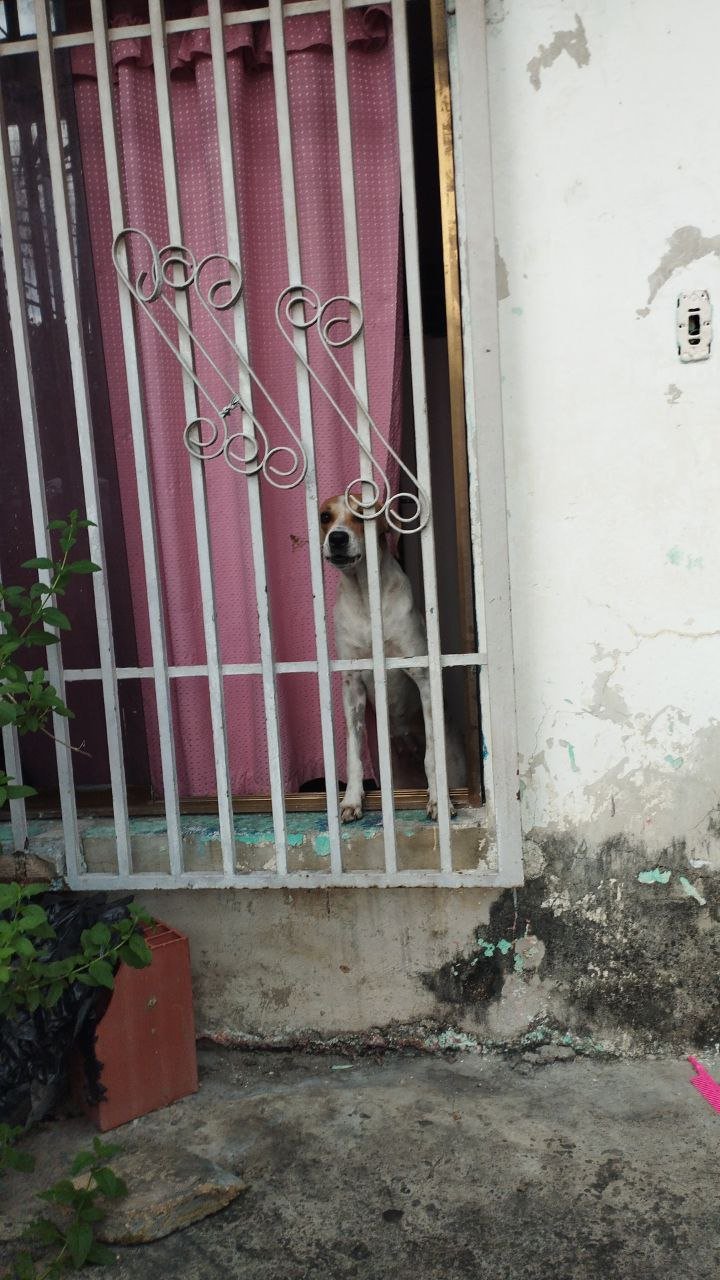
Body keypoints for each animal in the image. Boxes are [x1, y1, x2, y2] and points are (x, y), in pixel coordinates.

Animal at [316, 494, 461, 824]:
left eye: (361, 514)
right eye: (324, 517)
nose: (338, 538)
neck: (365, 593)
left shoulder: (423, 678)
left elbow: (432, 753)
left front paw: (439, 801)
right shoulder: (352, 685)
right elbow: (354, 753)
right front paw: (351, 798)